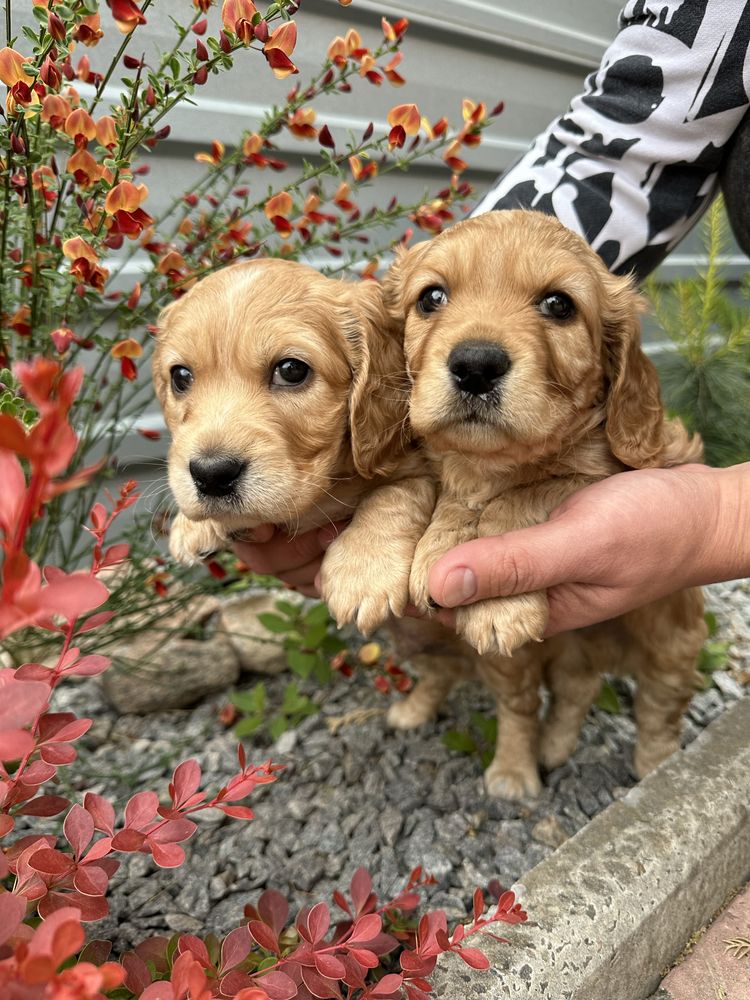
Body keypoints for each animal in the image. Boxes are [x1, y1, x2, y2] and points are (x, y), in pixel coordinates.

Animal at [152, 258, 434, 632]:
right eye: (180, 376)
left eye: (291, 370)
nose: (211, 475)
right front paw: (192, 525)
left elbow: (398, 492)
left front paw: (362, 574)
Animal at [384, 209, 708, 796]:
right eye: (432, 297)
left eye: (559, 305)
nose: (476, 364)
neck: (494, 461)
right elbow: (452, 495)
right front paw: (439, 539)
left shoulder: (616, 472)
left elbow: (525, 494)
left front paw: (497, 602)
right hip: (543, 658)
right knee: (553, 697)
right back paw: (539, 754)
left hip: (671, 643)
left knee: (658, 709)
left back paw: (656, 767)